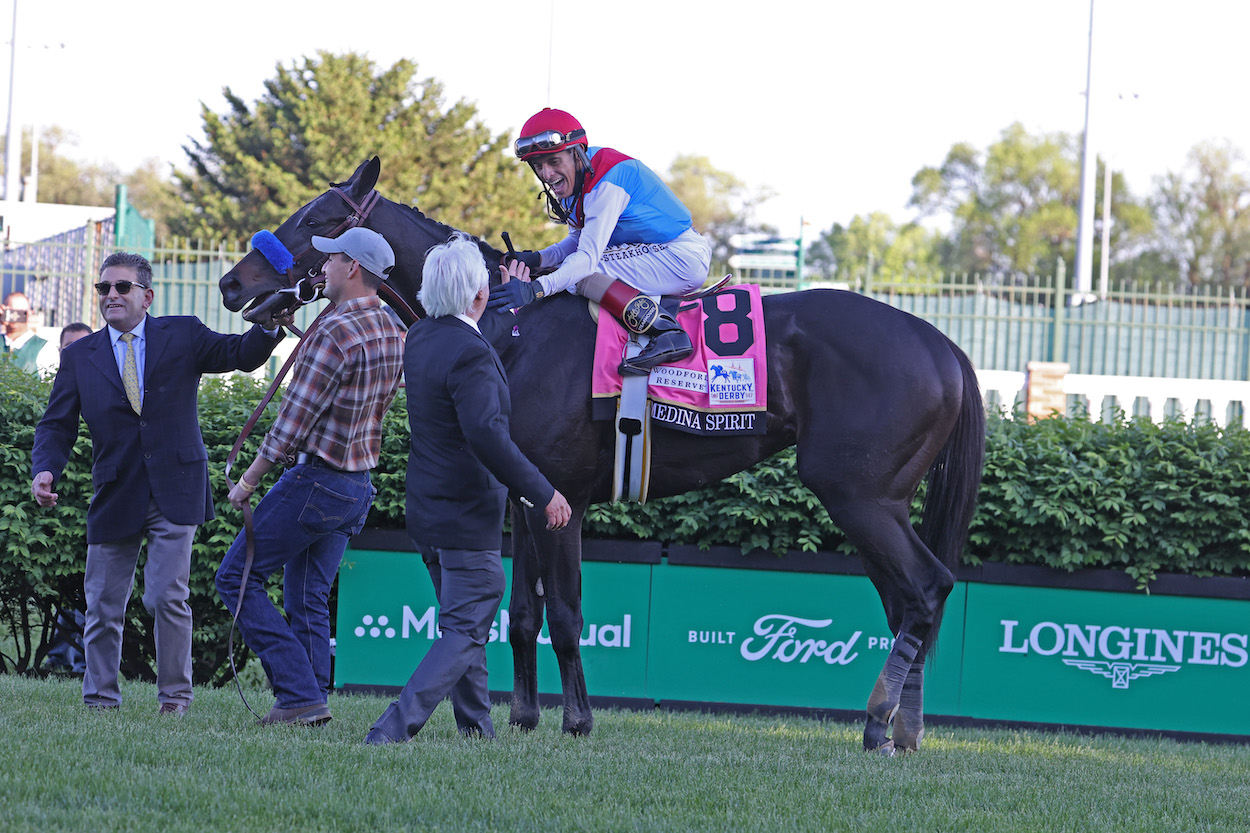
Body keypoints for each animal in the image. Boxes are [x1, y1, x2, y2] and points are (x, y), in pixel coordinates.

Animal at [217, 155, 985, 750]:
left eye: (318, 218)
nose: (230, 282)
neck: (510, 325)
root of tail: (944, 344)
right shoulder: (525, 494)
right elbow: (522, 612)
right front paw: (524, 716)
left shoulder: (565, 495)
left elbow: (563, 611)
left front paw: (578, 719)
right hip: (876, 501)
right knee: (909, 600)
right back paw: (904, 728)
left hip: (857, 493)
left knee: (926, 588)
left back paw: (879, 721)